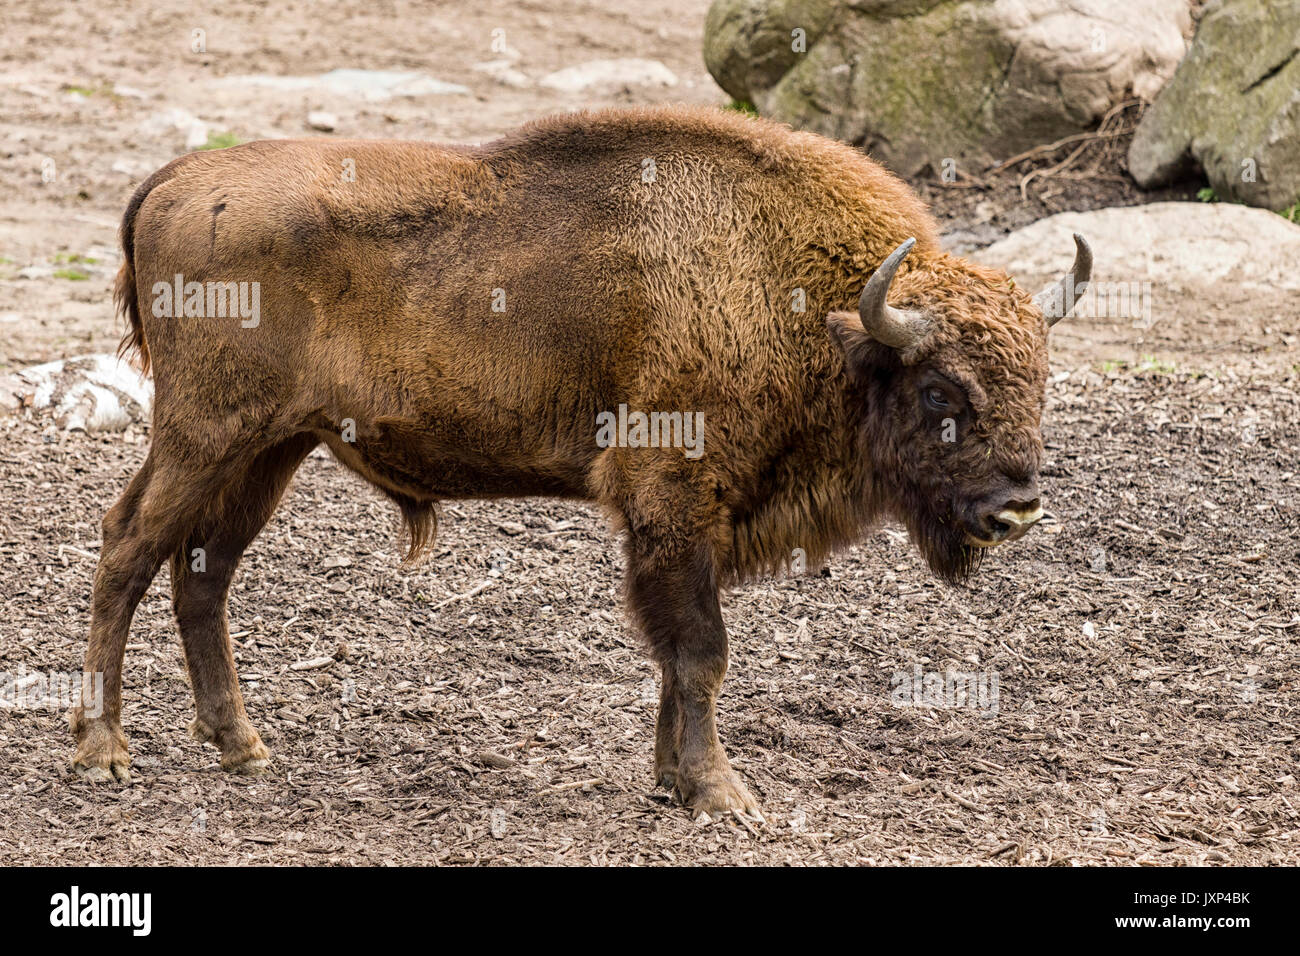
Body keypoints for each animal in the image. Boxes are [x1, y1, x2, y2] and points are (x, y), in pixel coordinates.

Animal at [68, 106, 1086, 822]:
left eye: (1040, 375)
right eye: (941, 391)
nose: (1018, 508)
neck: (819, 310)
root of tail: (174, 180)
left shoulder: (680, 527)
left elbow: (676, 656)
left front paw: (671, 781)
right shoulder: (673, 502)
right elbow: (702, 650)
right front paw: (724, 798)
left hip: (270, 448)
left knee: (202, 571)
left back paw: (241, 747)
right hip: (204, 435)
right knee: (126, 547)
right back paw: (103, 750)